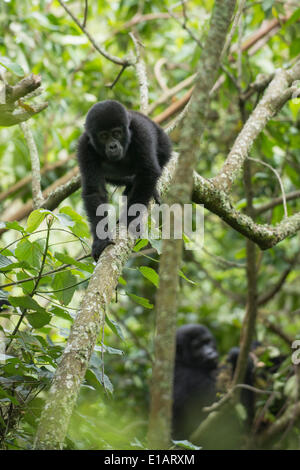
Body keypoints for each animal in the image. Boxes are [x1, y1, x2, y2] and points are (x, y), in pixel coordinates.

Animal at [76, 99, 172, 260]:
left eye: (117, 133)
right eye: (103, 136)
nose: (113, 146)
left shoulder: (141, 132)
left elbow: (148, 172)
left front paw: (129, 219)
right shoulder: (84, 147)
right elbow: (94, 191)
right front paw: (100, 240)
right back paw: (130, 182)